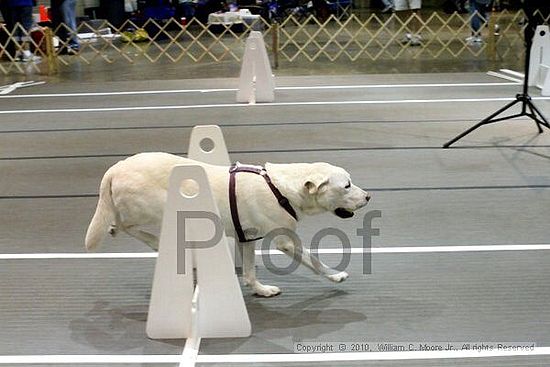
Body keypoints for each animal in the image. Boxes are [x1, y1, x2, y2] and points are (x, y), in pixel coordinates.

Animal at [85, 153, 370, 300]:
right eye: (347, 185)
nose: (368, 196)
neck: (281, 189)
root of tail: (116, 166)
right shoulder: (286, 242)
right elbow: (315, 261)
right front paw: (335, 275)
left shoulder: (247, 239)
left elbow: (250, 273)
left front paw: (261, 290)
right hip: (154, 209)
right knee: (127, 225)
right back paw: (143, 237)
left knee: (119, 221)